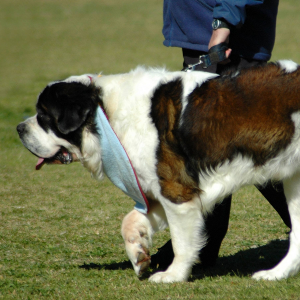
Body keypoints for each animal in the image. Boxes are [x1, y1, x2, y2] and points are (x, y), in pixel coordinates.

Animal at [17, 60, 300, 282]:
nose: (19, 128)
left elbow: (182, 241)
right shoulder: (158, 190)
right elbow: (130, 220)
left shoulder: (176, 191)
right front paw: (138, 253)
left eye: (44, 116)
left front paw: (174, 274)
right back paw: (277, 273)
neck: (105, 114)